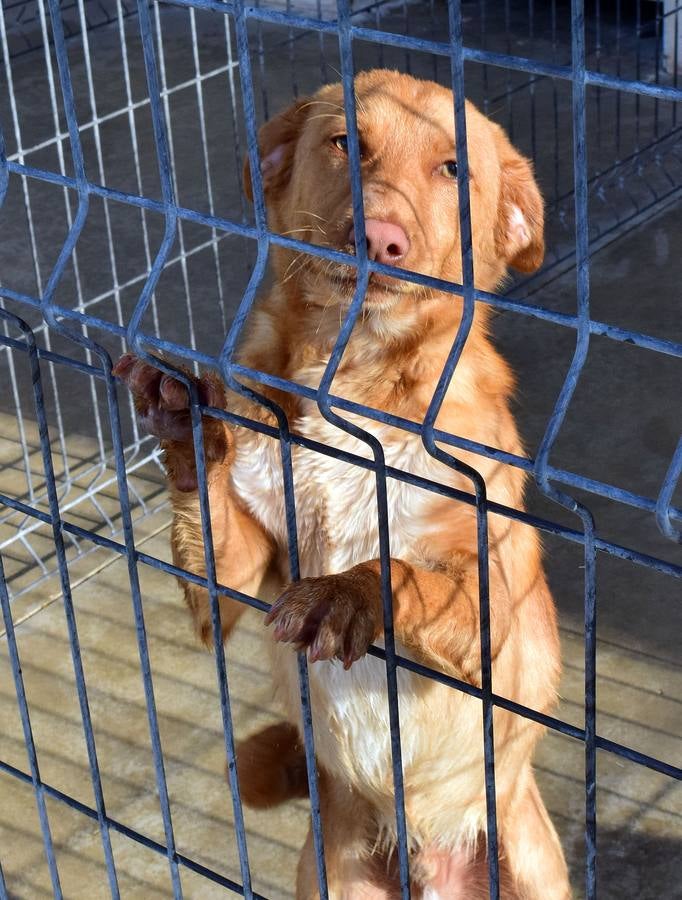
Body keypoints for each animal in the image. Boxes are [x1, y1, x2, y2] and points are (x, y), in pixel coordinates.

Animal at [115, 70, 568, 900]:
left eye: (454, 169)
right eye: (345, 143)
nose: (380, 237)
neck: (354, 377)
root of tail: (427, 855)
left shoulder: (491, 606)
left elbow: (402, 569)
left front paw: (351, 594)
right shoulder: (236, 578)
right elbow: (216, 528)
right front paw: (185, 424)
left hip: (532, 861)